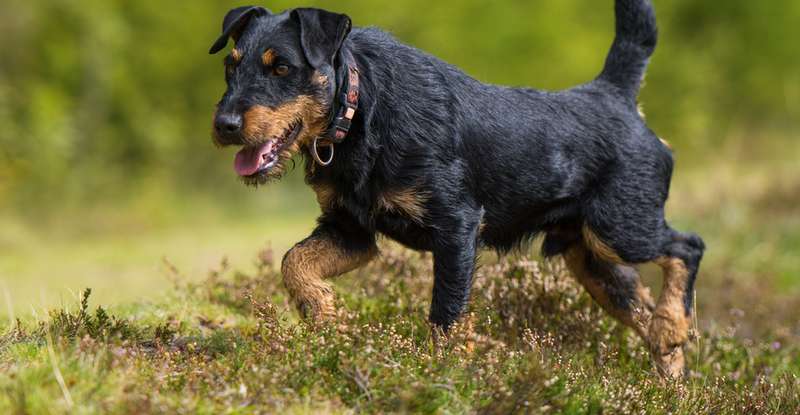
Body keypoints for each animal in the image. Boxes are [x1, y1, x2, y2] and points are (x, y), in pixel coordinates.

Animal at [209, 0, 704, 378]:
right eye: (230, 67)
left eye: (282, 67)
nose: (225, 125)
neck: (360, 109)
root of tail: (615, 95)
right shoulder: (351, 230)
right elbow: (294, 262)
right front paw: (325, 316)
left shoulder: (456, 227)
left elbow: (445, 314)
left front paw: (441, 374)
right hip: (592, 260)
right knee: (641, 304)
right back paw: (669, 370)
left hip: (621, 228)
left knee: (688, 246)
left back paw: (671, 327)